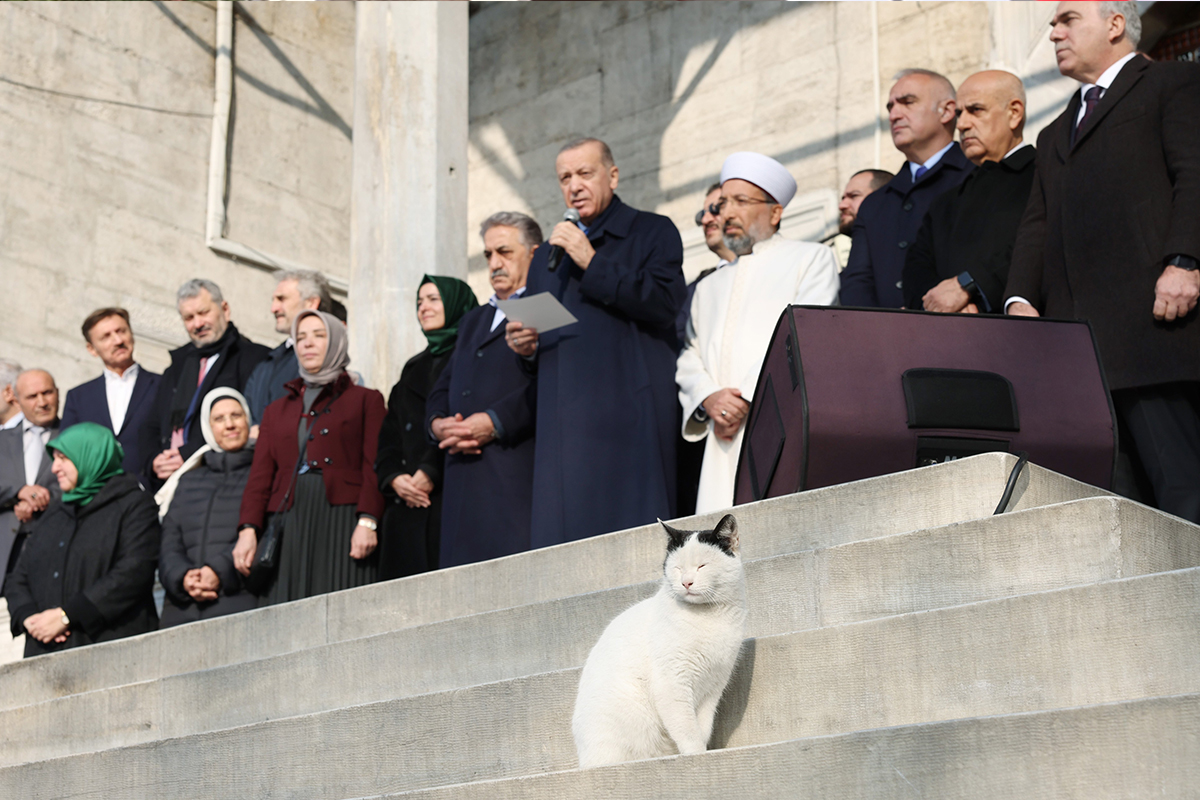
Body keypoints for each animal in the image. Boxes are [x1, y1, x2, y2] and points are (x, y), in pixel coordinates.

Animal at [566, 513, 744, 767]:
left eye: (702, 566)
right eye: (677, 568)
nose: (686, 582)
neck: (710, 617)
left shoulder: (713, 688)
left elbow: (702, 728)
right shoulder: (672, 683)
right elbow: (688, 730)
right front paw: (696, 755)